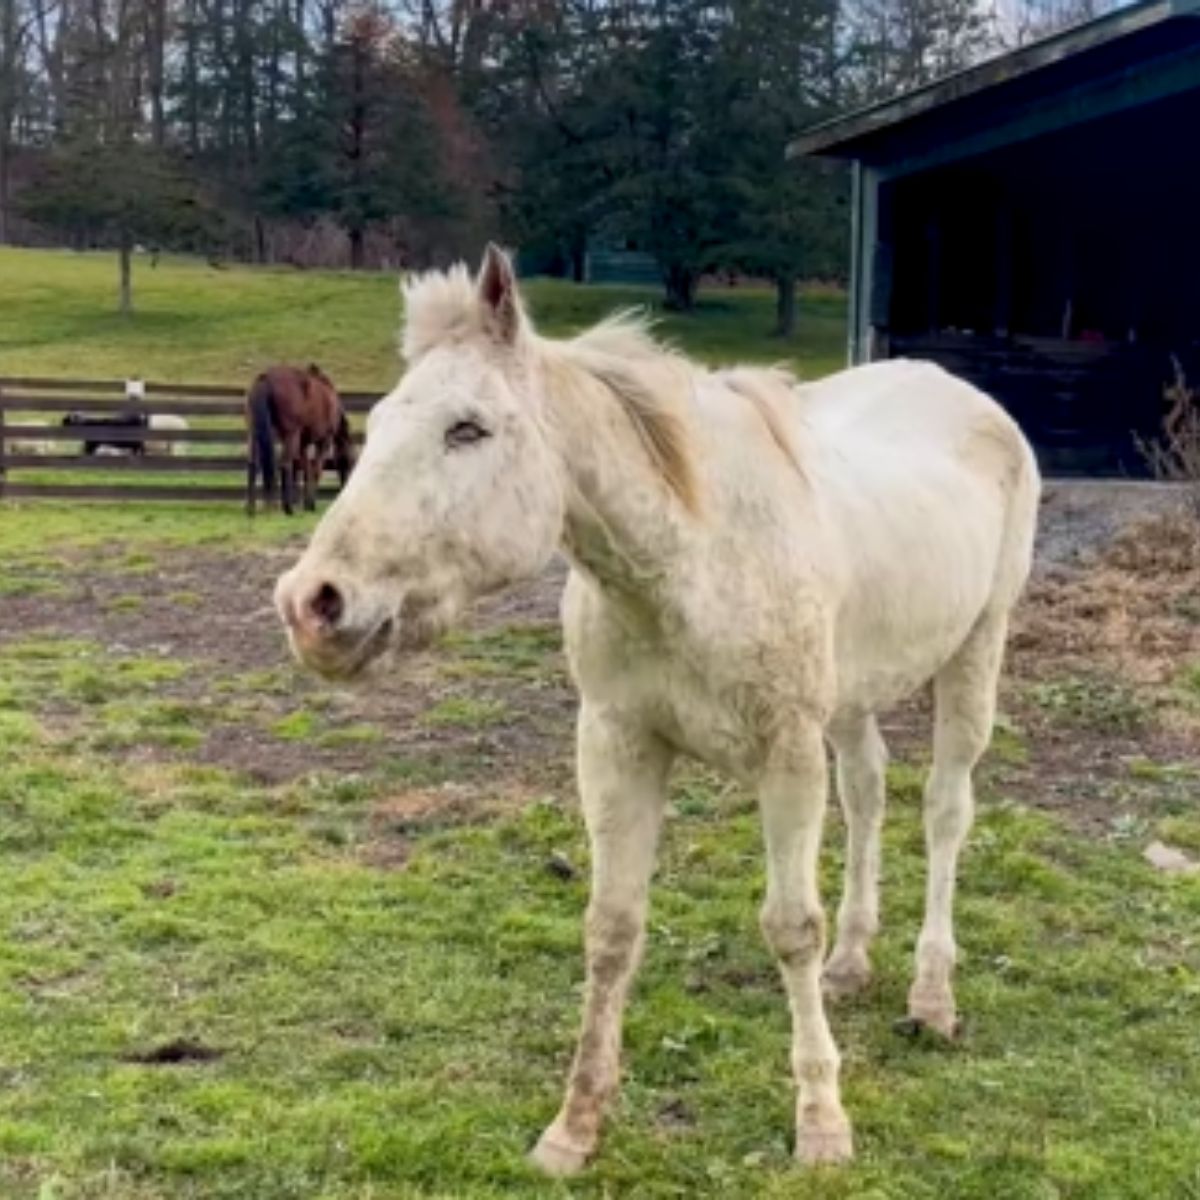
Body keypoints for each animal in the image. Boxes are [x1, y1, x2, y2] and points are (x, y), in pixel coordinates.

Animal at [244, 364, 354, 516]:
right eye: (350, 463)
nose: (345, 490)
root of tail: (265, 379)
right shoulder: (324, 441)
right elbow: (316, 470)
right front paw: (311, 505)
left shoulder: (303, 444)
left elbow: (307, 471)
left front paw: (307, 505)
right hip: (291, 435)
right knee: (285, 464)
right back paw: (288, 508)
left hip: (254, 433)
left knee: (252, 464)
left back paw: (251, 509)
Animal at [273, 246, 1040, 1174]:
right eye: (379, 420)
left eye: (468, 429)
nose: (314, 603)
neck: (692, 561)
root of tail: (967, 396)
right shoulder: (618, 743)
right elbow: (612, 928)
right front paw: (575, 1127)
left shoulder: (787, 755)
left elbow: (791, 927)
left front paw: (822, 1122)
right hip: (854, 696)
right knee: (868, 794)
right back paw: (855, 963)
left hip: (974, 655)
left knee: (944, 811)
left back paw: (932, 997)